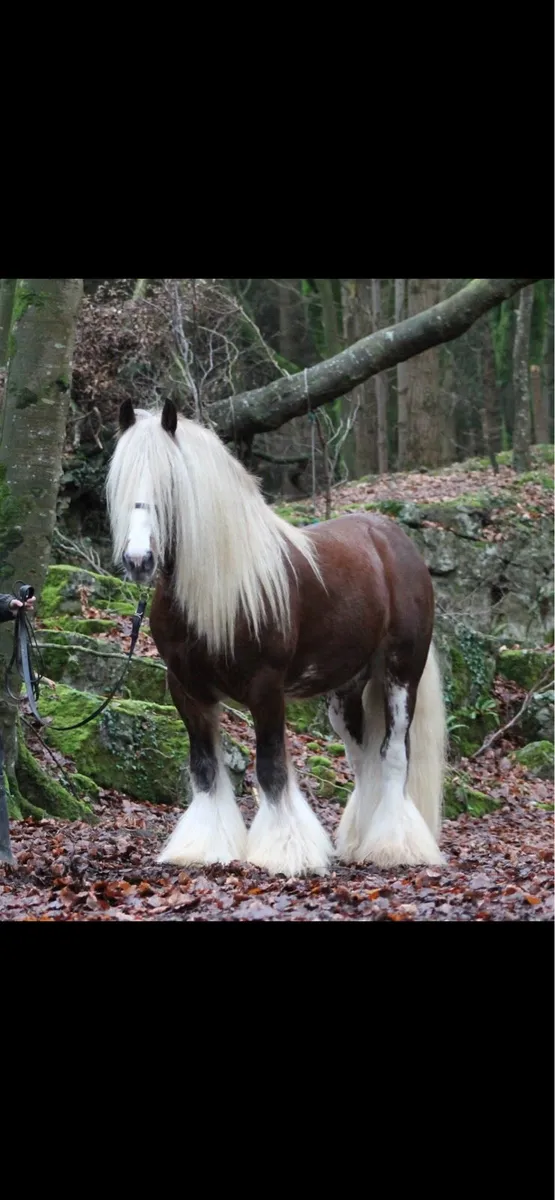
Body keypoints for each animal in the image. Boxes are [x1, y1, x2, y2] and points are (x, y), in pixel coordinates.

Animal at [106, 398, 447, 878]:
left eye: (171, 484)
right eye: (120, 482)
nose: (139, 560)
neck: (222, 590)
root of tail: (394, 540)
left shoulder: (265, 688)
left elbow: (270, 767)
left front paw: (284, 851)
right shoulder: (186, 688)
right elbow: (205, 767)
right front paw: (204, 847)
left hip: (400, 675)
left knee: (393, 755)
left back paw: (394, 847)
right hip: (345, 691)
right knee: (363, 760)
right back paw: (357, 842)